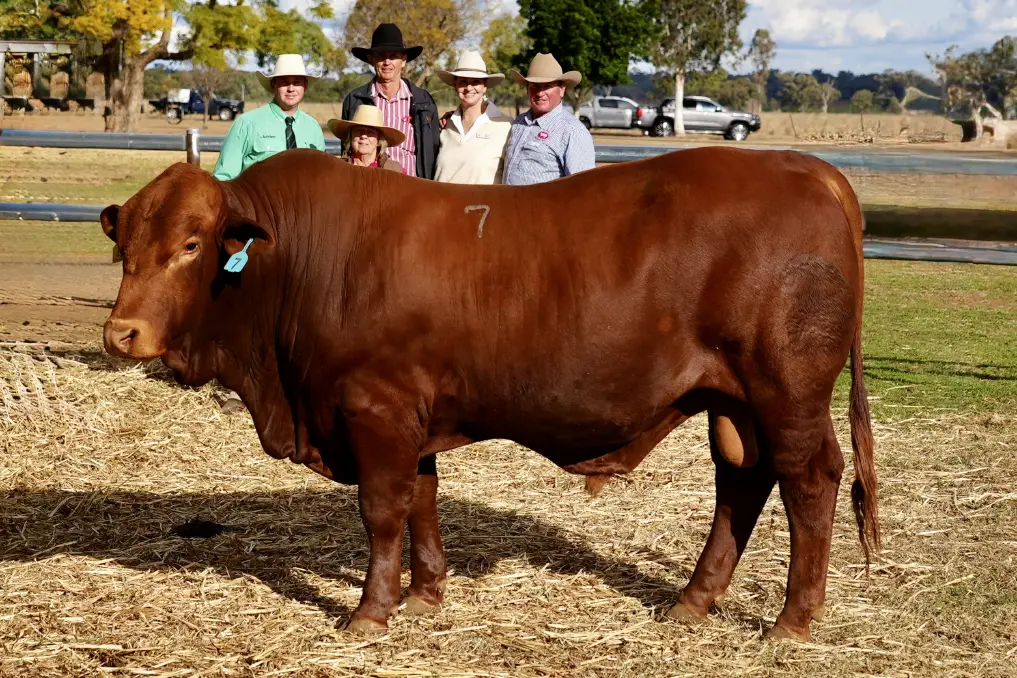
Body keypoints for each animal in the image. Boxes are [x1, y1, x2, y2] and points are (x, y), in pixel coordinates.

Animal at [100, 147, 880, 641]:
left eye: (192, 245)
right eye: (124, 245)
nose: (122, 333)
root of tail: (806, 168)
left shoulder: (374, 407)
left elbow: (382, 512)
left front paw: (370, 613)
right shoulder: (410, 415)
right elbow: (421, 501)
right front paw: (424, 597)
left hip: (786, 390)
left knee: (808, 481)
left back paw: (791, 622)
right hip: (734, 399)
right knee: (742, 481)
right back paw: (692, 602)